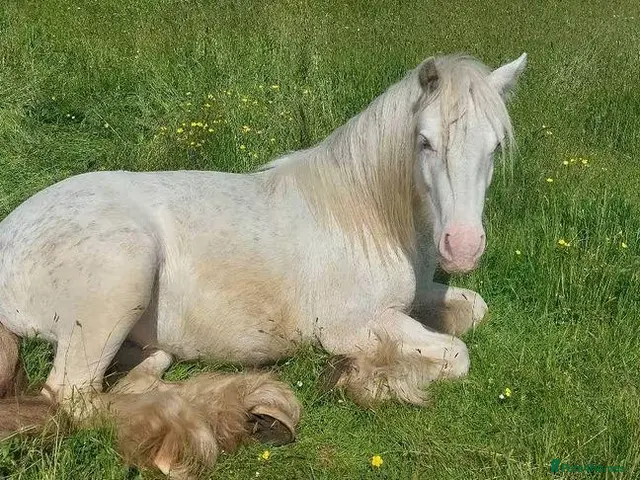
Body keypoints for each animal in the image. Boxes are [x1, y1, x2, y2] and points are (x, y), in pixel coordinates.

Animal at [0, 52, 526, 476]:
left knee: (141, 372)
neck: (367, 216)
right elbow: (457, 354)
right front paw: (367, 380)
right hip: (118, 285)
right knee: (74, 398)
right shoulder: (350, 325)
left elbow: (474, 310)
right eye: (425, 142)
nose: (463, 247)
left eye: (494, 147)